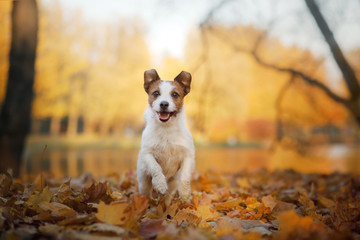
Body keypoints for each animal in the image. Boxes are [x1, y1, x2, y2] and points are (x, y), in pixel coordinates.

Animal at [137, 68, 194, 203]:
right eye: (156, 93)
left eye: (175, 94)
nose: (164, 104)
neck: (166, 128)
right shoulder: (148, 154)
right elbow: (155, 168)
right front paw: (160, 184)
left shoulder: (188, 156)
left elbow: (185, 176)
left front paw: (185, 194)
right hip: (143, 182)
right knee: (146, 193)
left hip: (172, 184)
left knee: (167, 196)